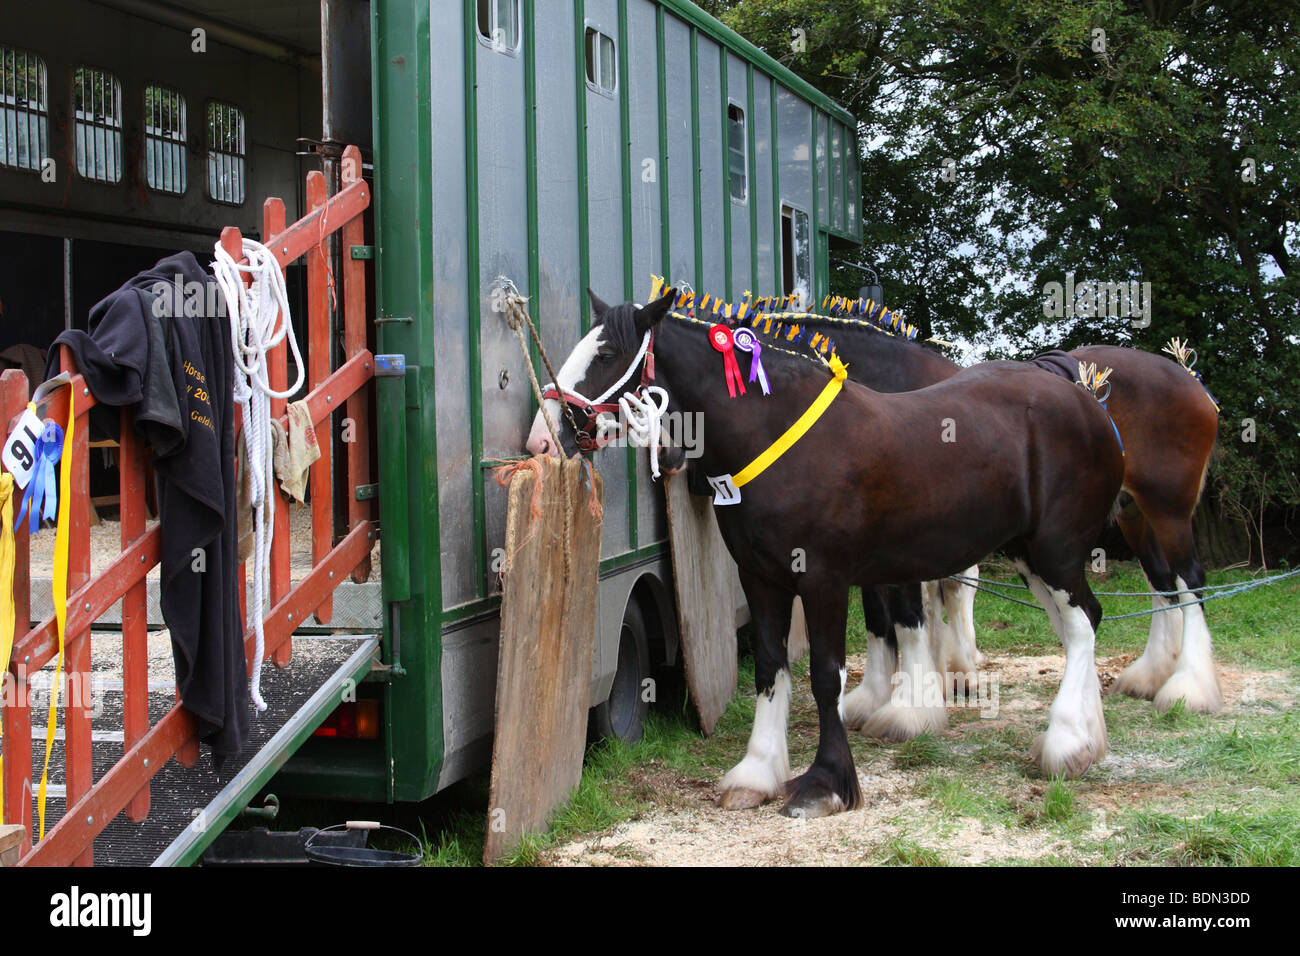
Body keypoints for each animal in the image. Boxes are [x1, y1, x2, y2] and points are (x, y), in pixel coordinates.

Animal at [529, 289, 1124, 816]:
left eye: (607, 354)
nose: (544, 438)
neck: (775, 436)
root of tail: (1086, 401)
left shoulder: (823, 579)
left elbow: (826, 676)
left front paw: (827, 784)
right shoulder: (762, 578)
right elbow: (771, 669)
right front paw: (757, 772)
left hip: (1056, 550)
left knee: (1081, 626)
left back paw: (1066, 742)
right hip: (1029, 554)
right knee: (1082, 625)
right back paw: (1087, 739)